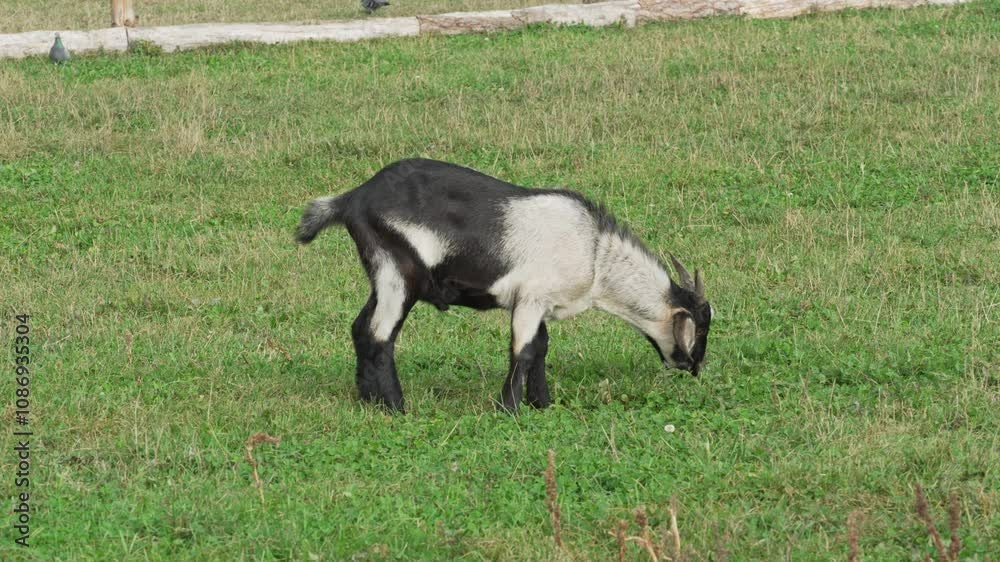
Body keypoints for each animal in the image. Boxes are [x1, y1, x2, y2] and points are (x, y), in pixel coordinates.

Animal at [296, 158, 712, 412]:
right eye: (700, 329)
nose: (693, 368)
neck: (596, 254)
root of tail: (352, 199)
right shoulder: (530, 298)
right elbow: (523, 351)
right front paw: (508, 409)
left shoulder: (541, 304)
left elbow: (541, 348)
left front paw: (541, 403)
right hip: (398, 273)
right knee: (379, 334)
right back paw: (397, 408)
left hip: (381, 275)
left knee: (359, 329)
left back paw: (369, 400)